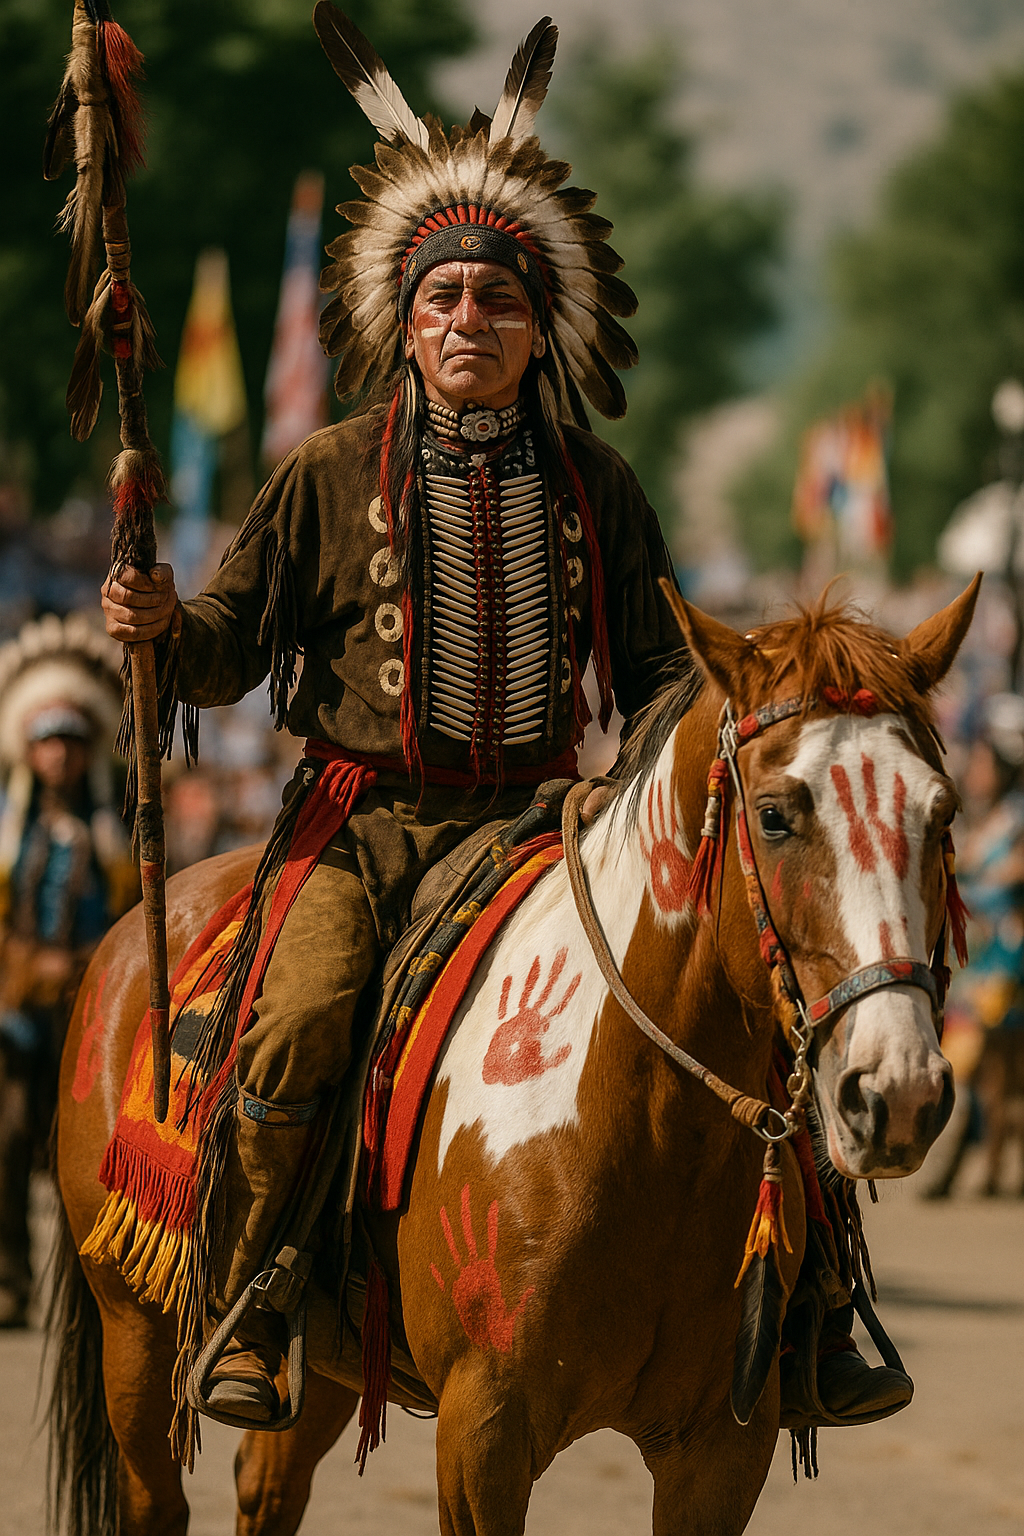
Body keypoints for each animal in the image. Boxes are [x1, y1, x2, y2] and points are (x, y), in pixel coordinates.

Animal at [47, 579, 977, 1536]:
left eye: (941, 813)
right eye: (775, 816)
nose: (900, 1092)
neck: (647, 1125)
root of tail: (138, 923)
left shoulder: (722, 1449)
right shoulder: (484, 1432)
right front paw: (144, 609)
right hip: (134, 1329)